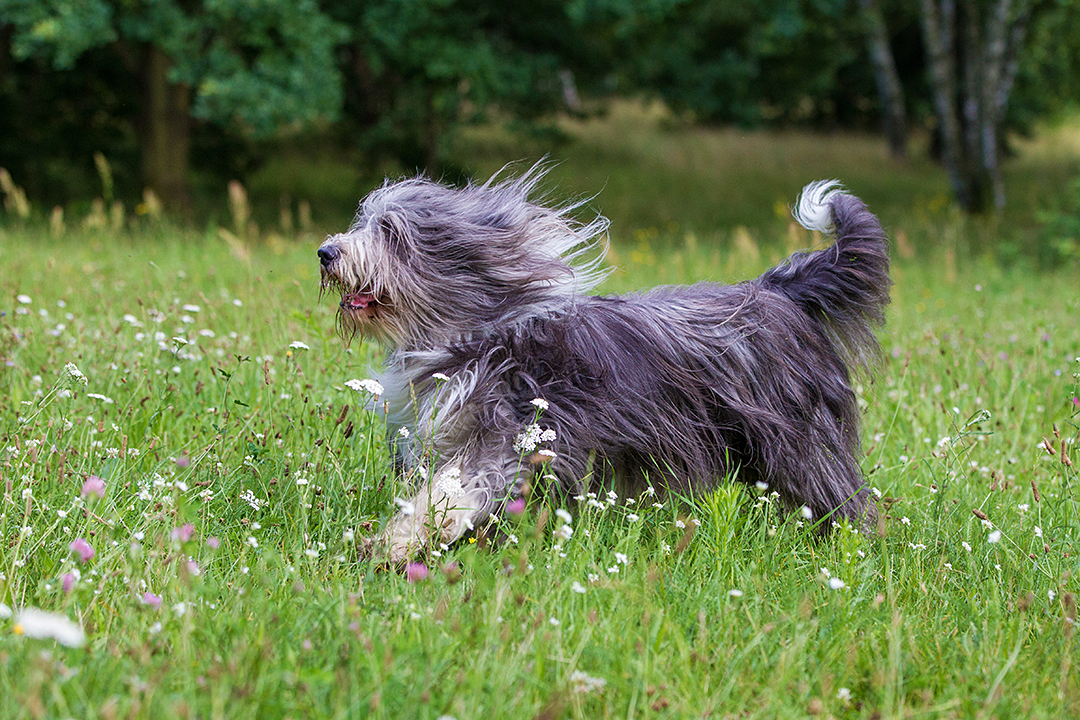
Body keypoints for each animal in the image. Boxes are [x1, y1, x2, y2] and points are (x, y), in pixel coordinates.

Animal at [315, 169, 889, 561]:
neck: (480, 328)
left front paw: (393, 545)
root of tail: (777, 289)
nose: (326, 252)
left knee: (841, 497)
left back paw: (850, 549)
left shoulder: (508, 434)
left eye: (390, 232)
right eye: (363, 222)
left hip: (799, 439)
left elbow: (451, 491)